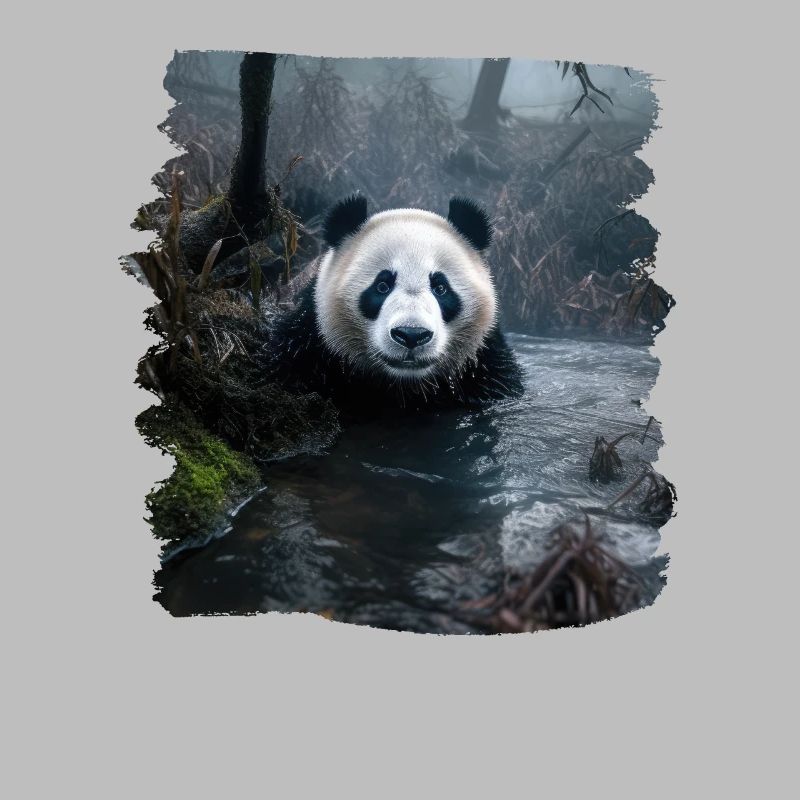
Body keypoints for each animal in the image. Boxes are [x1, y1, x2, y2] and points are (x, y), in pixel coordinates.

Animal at [271, 194, 523, 413]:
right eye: (382, 286)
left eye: (440, 288)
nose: (412, 334)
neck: (404, 387)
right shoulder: (308, 349)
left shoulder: (486, 368)